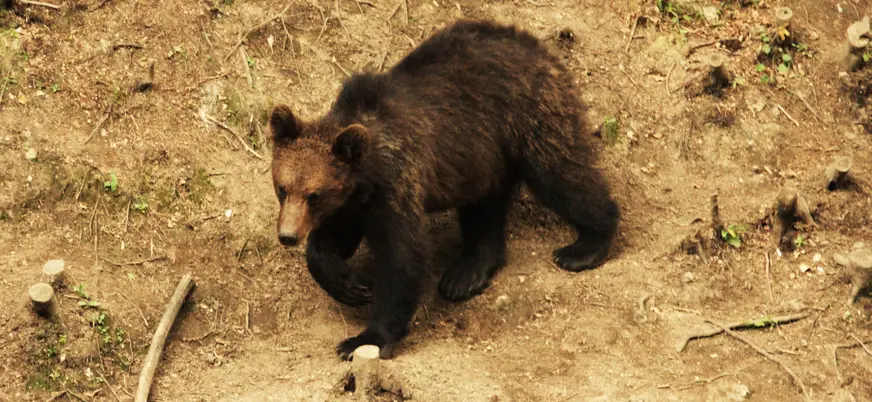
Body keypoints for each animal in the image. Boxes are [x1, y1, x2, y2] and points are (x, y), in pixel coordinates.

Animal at [269, 19, 619, 360]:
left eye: (314, 195)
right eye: (283, 188)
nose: (288, 236)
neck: (366, 174)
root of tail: (537, 46)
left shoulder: (396, 184)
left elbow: (402, 257)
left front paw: (364, 339)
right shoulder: (352, 202)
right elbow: (333, 241)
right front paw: (347, 283)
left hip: (528, 116)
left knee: (561, 174)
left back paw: (585, 246)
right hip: (483, 157)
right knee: (484, 209)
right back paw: (465, 274)